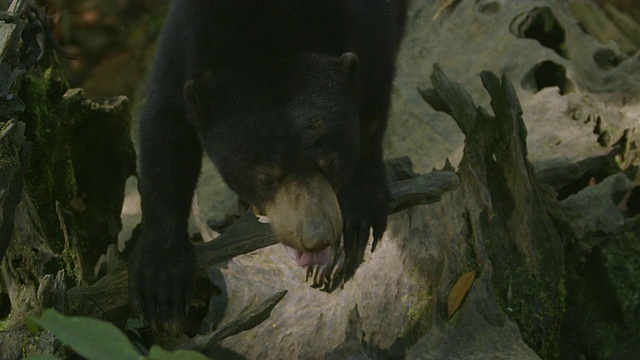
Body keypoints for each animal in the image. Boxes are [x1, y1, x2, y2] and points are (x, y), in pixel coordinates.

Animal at [129, 0, 408, 324]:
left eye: (330, 165)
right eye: (264, 178)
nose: (316, 238)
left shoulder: (369, 26)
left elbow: (373, 101)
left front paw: (353, 223)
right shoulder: (184, 40)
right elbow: (165, 130)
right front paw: (162, 282)